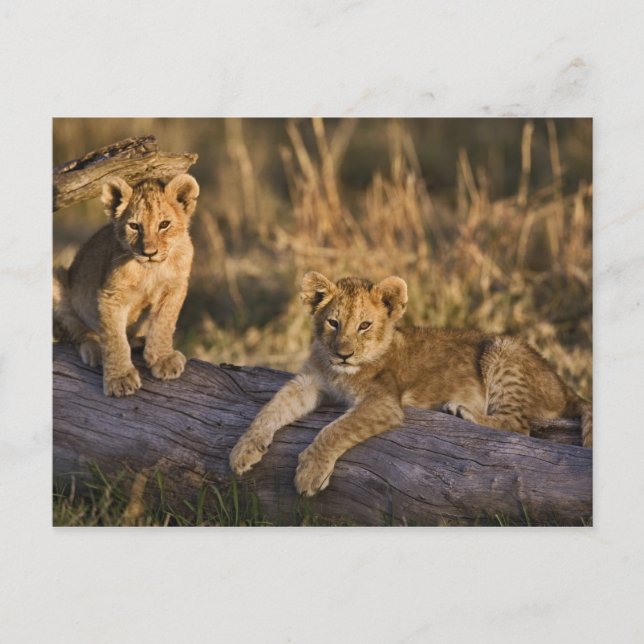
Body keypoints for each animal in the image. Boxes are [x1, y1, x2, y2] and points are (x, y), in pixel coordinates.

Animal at [53, 174, 199, 397]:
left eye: (164, 224)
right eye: (134, 226)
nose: (149, 253)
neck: (151, 270)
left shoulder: (175, 287)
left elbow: (164, 322)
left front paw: (163, 359)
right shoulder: (110, 296)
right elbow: (115, 338)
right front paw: (119, 379)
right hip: (58, 277)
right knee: (75, 329)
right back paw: (95, 350)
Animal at [230, 271, 592, 497]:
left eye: (364, 325)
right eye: (333, 323)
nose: (343, 354)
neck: (339, 373)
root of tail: (564, 385)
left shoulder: (383, 403)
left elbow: (334, 430)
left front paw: (309, 473)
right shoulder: (308, 383)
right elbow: (270, 408)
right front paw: (243, 450)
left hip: (503, 348)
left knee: (520, 426)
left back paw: (461, 411)